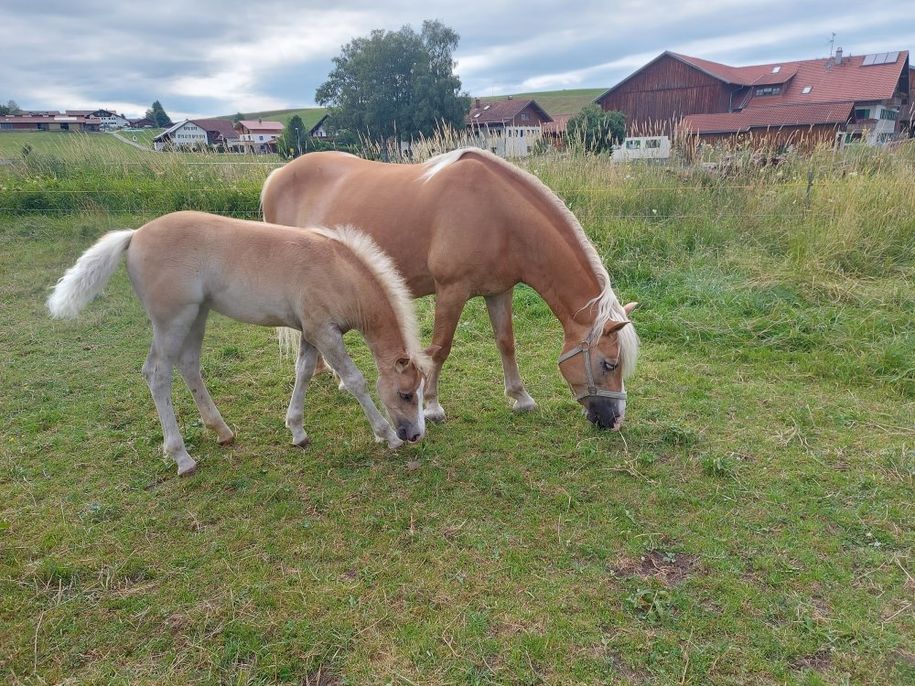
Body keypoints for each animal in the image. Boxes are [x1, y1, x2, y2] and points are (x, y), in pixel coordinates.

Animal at [50, 212, 432, 476]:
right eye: (405, 394)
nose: (415, 435)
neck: (338, 272)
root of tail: (134, 235)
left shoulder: (310, 331)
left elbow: (304, 372)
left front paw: (297, 431)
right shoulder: (325, 332)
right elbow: (355, 381)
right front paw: (386, 435)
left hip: (197, 315)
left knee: (189, 365)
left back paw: (222, 431)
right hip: (172, 320)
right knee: (157, 374)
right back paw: (182, 457)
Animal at [262, 149, 640, 430]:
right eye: (609, 364)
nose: (615, 420)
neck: (499, 214)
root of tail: (275, 176)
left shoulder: (499, 291)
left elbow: (506, 342)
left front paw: (520, 397)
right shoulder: (451, 291)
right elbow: (440, 348)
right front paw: (431, 406)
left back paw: (329, 374)